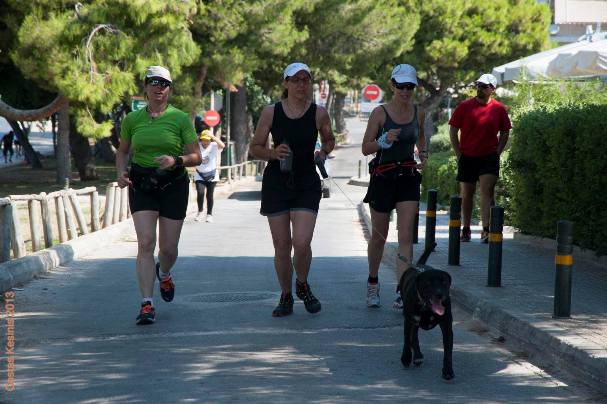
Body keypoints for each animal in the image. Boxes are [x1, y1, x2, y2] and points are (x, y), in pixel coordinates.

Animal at [402, 243, 454, 378]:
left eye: (444, 282)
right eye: (428, 283)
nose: (439, 294)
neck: (427, 309)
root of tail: (419, 266)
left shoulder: (446, 324)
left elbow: (448, 349)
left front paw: (448, 370)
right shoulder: (409, 320)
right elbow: (407, 339)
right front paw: (406, 358)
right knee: (413, 336)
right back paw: (417, 356)